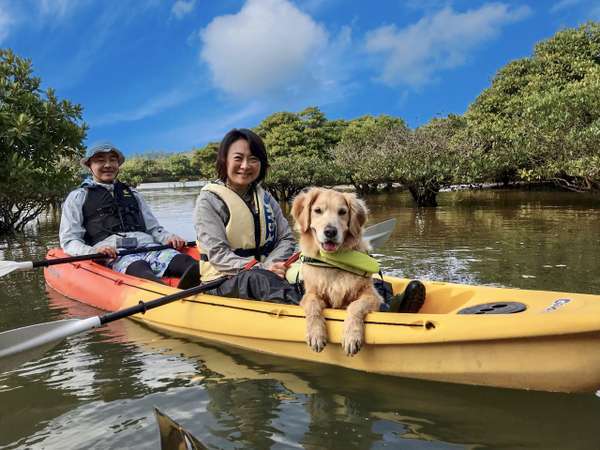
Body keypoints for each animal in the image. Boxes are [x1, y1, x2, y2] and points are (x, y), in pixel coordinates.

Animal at [290, 186, 380, 356]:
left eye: (342, 212)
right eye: (317, 210)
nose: (330, 232)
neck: (334, 263)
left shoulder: (373, 296)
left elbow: (355, 305)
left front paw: (351, 336)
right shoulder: (309, 293)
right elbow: (313, 305)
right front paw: (316, 334)